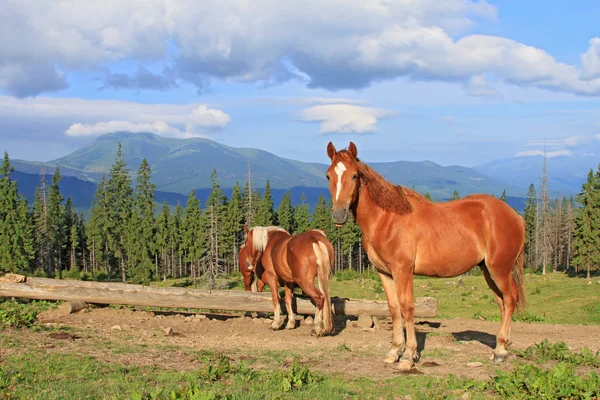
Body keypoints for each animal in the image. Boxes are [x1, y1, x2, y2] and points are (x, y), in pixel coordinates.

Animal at [324, 142, 524, 370]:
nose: (339, 214)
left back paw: (500, 351)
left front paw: (408, 356)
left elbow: (407, 308)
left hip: (499, 269)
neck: (387, 219)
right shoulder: (384, 273)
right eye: (329, 175)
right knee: (502, 302)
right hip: (488, 270)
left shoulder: (403, 270)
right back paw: (503, 347)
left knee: (510, 299)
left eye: (355, 175)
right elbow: (394, 309)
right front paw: (394, 351)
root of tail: (515, 216)